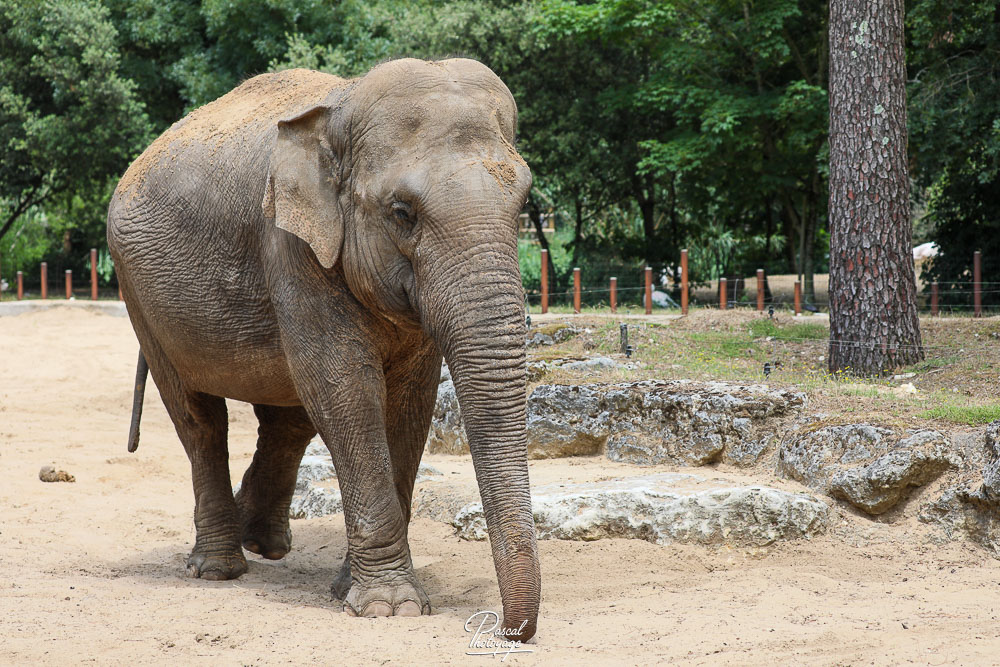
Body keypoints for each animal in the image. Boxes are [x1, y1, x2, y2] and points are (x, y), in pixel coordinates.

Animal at [106, 58, 539, 640]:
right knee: (199, 419)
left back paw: (262, 542)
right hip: (139, 296)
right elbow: (346, 388)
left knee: (288, 418)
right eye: (402, 212)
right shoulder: (289, 244)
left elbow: (410, 403)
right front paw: (389, 608)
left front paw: (351, 590)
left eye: (523, 205)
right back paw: (219, 568)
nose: (507, 630)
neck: (340, 110)